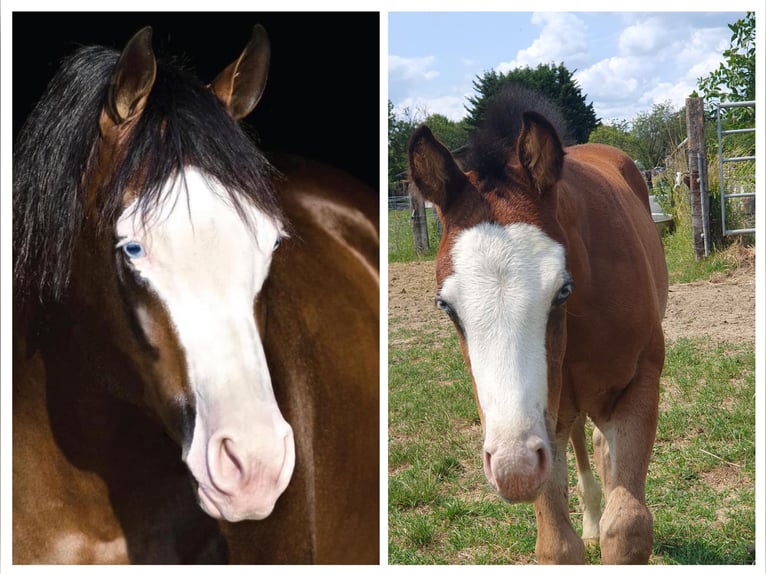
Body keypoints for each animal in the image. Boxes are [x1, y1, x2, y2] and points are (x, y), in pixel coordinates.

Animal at [412, 85, 668, 568]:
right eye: (446, 306)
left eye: (562, 289)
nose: (514, 469)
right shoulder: (540, 423)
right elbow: (557, 545)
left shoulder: (639, 383)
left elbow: (627, 528)